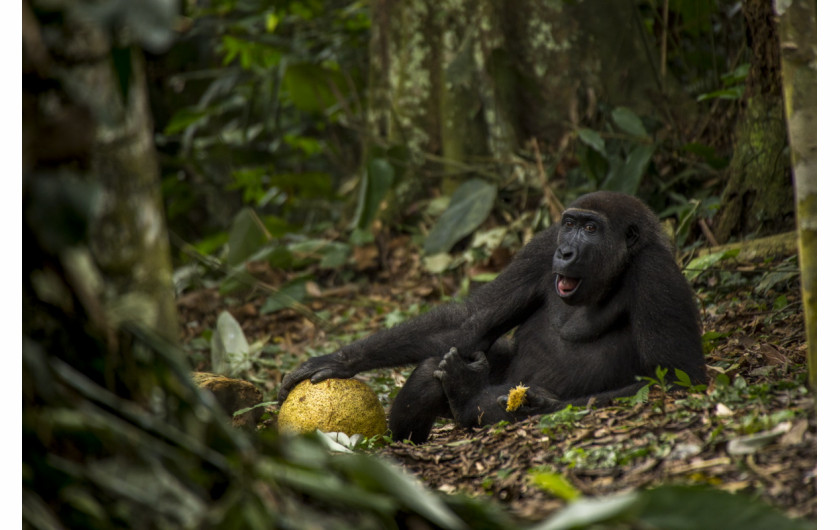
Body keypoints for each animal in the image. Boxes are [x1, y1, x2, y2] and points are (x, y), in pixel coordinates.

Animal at [278, 190, 704, 442]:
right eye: (569, 224)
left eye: (590, 228)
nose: (566, 252)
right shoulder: (541, 246)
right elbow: (470, 321)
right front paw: (340, 360)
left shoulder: (656, 274)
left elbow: (677, 379)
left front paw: (540, 404)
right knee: (437, 363)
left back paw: (467, 396)